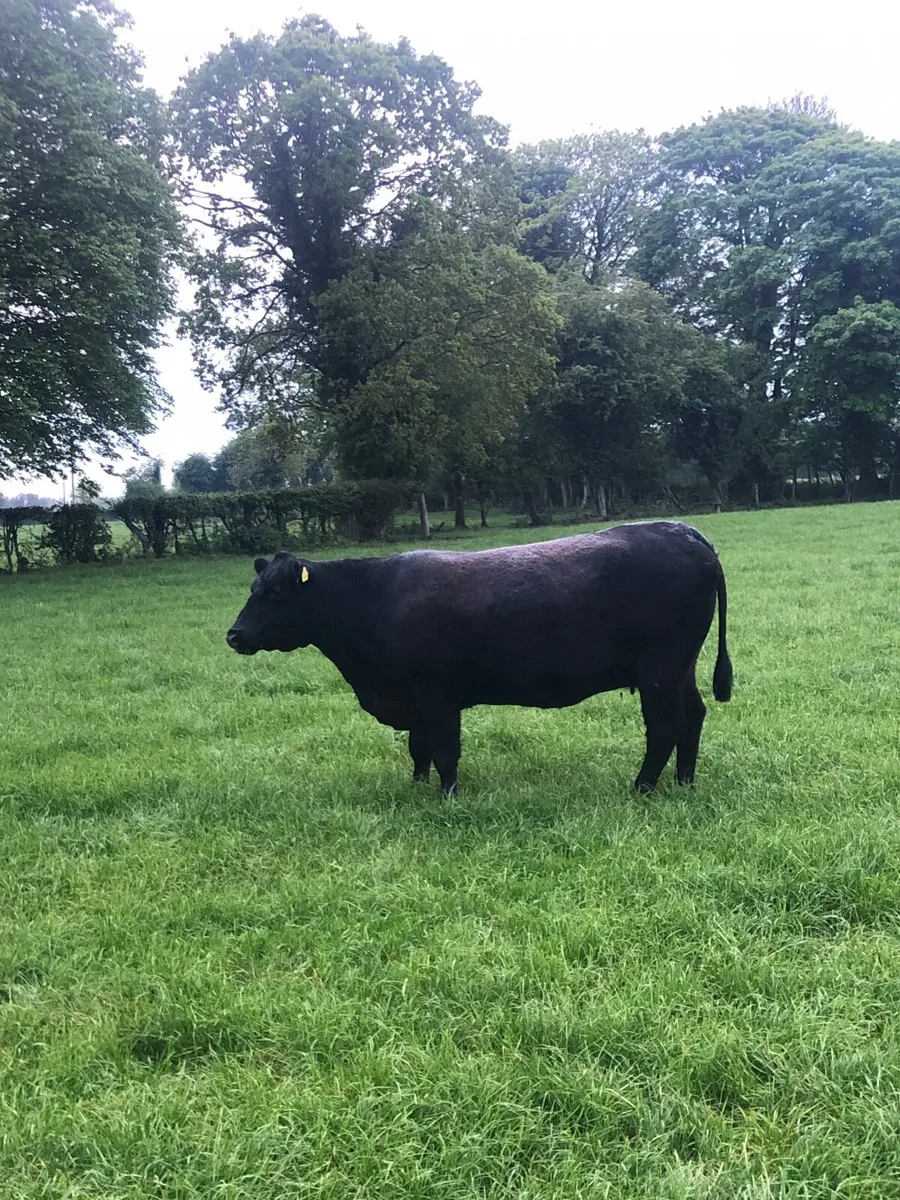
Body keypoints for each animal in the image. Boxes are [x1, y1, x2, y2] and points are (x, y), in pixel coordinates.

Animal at [226, 520, 733, 795]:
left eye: (274, 593)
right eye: (253, 588)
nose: (234, 635)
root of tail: (685, 532)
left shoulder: (435, 693)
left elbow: (444, 748)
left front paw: (448, 795)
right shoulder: (415, 700)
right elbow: (419, 748)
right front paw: (416, 787)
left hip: (659, 671)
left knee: (665, 726)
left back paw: (641, 787)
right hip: (680, 669)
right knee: (694, 717)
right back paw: (684, 782)